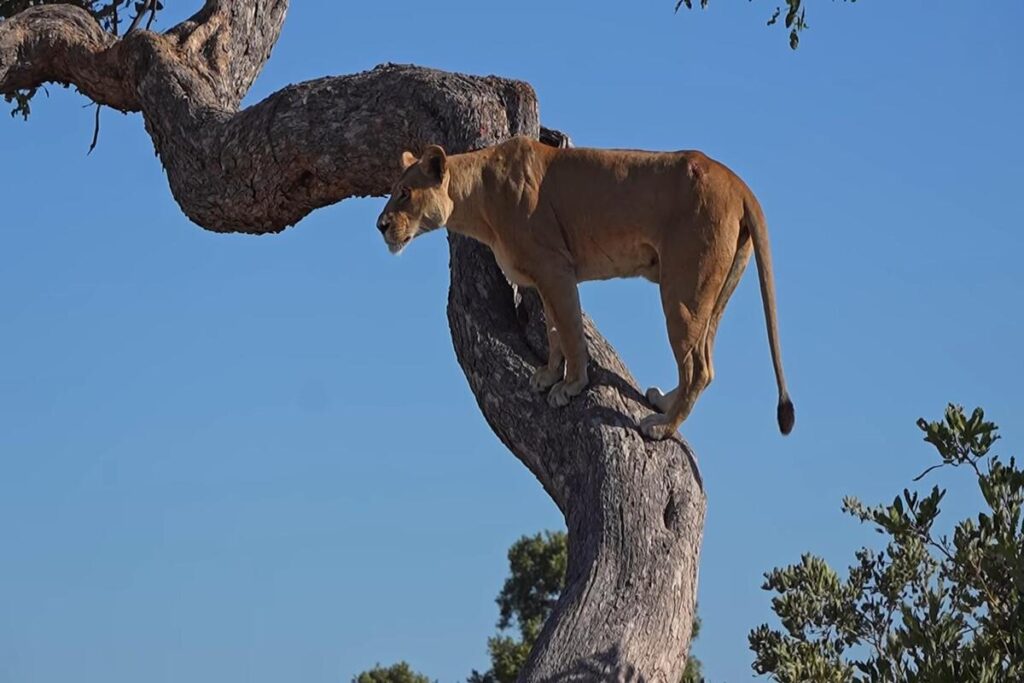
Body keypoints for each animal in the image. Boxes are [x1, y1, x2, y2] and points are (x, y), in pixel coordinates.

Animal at [375, 136, 794, 440]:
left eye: (405, 193)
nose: (380, 225)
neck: (477, 197)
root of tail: (738, 183)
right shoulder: (544, 278)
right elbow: (554, 330)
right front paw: (548, 375)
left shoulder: (556, 269)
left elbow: (572, 332)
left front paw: (571, 386)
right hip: (715, 289)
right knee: (704, 358)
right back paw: (663, 401)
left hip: (683, 288)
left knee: (700, 368)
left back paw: (661, 426)